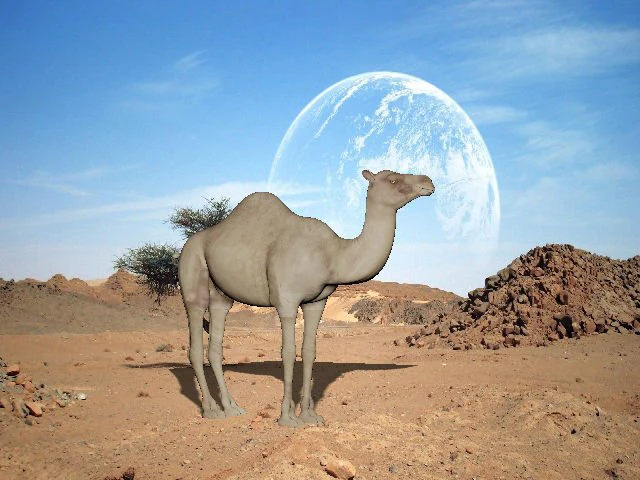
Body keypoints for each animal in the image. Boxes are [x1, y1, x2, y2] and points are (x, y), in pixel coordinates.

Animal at [178, 169, 435, 427]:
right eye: (393, 179)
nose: (428, 183)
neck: (332, 255)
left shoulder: (317, 302)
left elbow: (310, 351)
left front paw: (310, 415)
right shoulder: (287, 300)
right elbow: (288, 352)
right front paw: (287, 418)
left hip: (221, 294)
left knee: (216, 342)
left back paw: (232, 408)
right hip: (192, 267)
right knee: (195, 336)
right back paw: (211, 410)